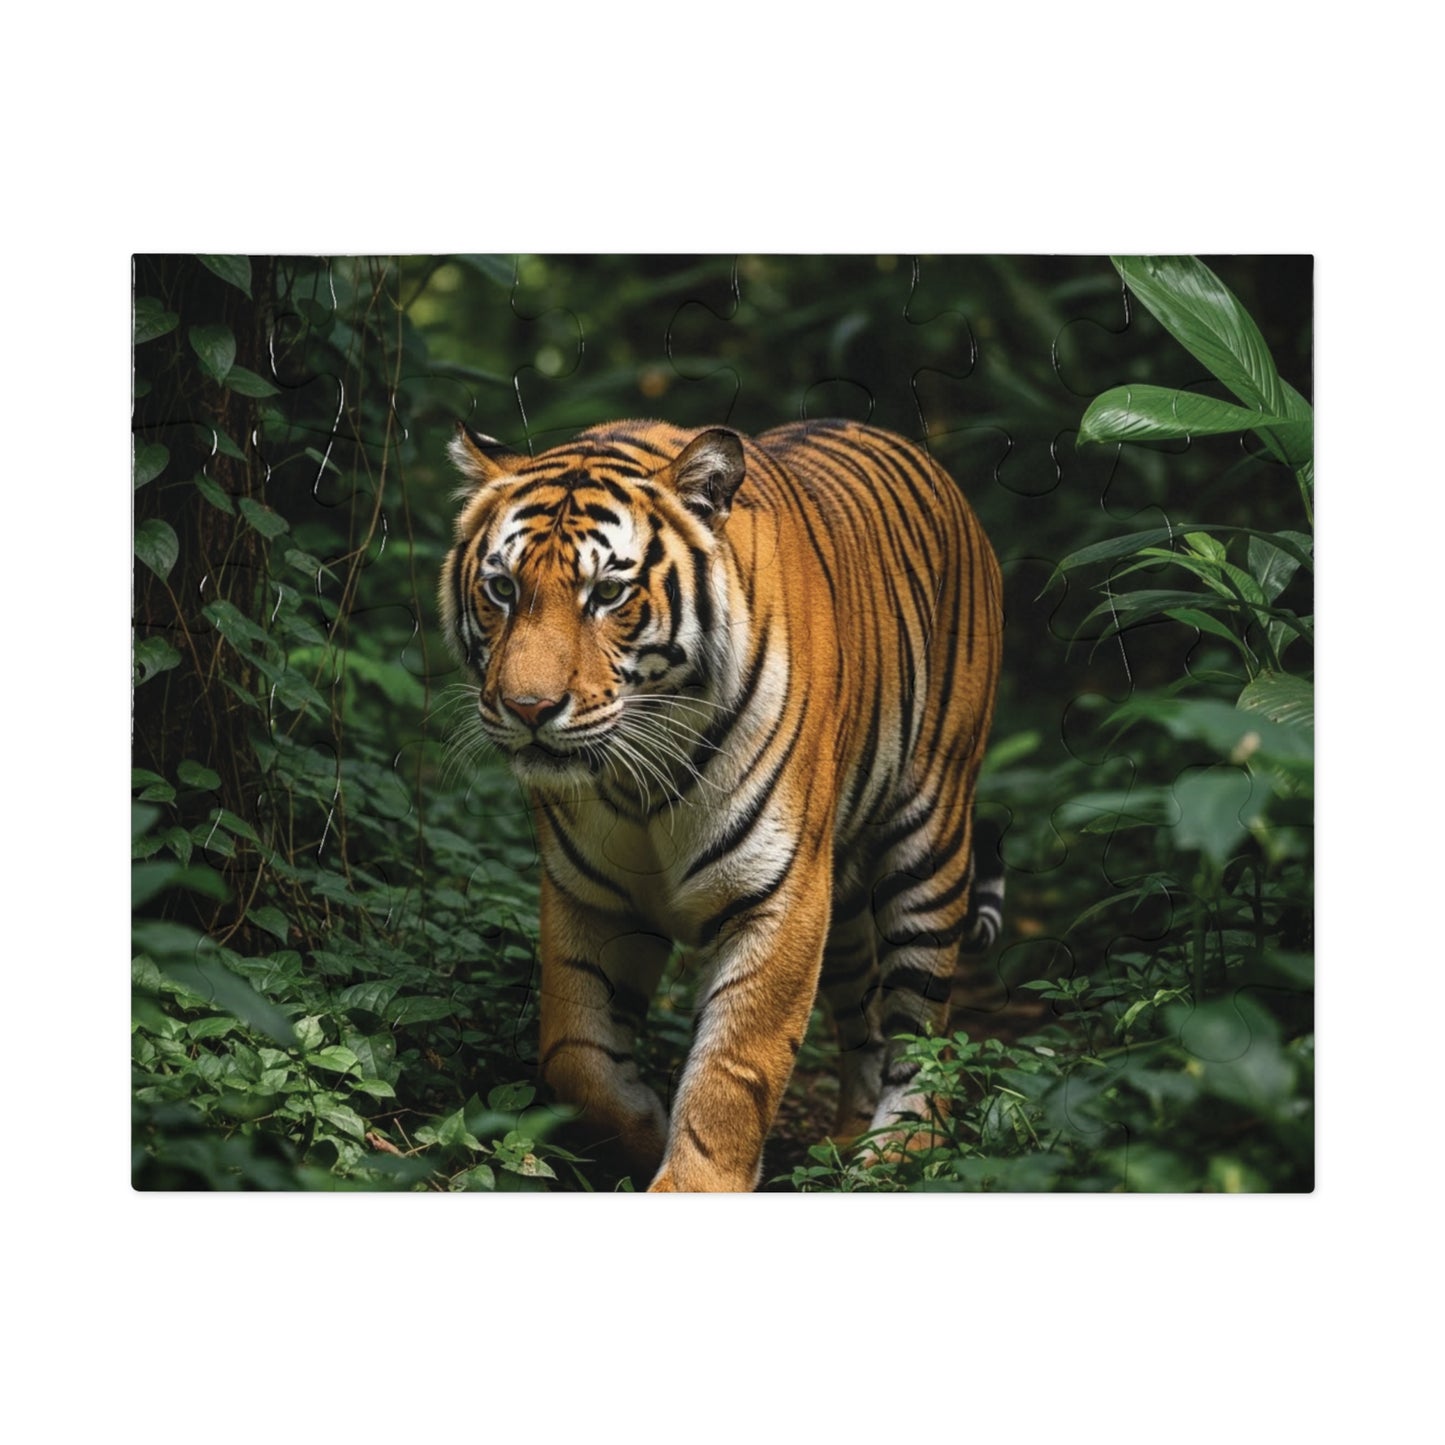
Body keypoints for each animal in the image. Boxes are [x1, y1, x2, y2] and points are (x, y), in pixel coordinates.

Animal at [440, 417, 1003, 1191]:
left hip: (929, 841)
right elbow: (574, 1054)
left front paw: (690, 1179)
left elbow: (734, 1071)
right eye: (500, 587)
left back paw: (896, 1153)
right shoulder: (589, 896)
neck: (637, 777)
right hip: (844, 900)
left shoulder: (779, 895)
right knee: (863, 1020)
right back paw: (842, 1144)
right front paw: (644, 1131)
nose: (528, 708)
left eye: (607, 594)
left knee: (921, 1025)